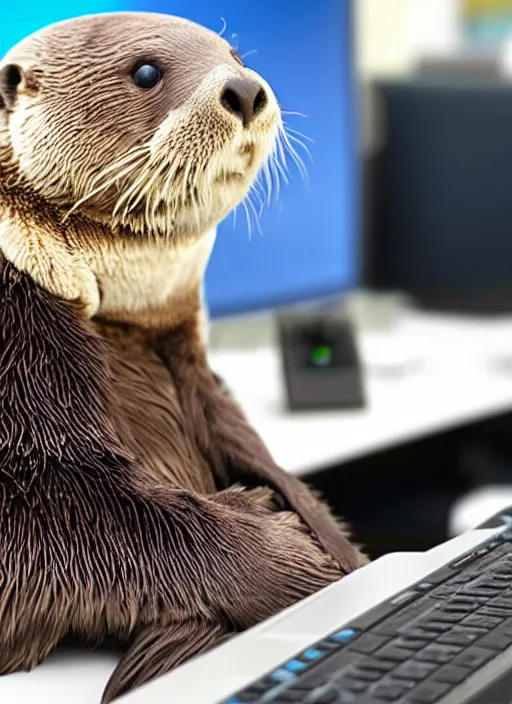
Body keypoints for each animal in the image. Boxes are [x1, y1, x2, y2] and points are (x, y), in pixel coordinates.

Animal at [0, 12, 368, 704]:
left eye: (236, 55)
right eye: (146, 70)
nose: (245, 89)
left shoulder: (189, 354)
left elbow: (243, 438)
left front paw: (342, 547)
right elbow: (75, 516)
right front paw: (293, 559)